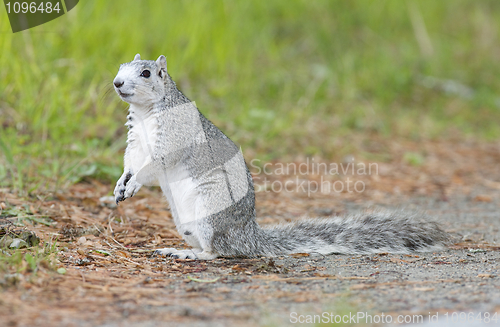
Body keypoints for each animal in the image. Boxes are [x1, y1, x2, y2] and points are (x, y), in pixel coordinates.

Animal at [112, 54, 450, 262]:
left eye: (145, 73)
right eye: (120, 67)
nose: (116, 83)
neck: (146, 113)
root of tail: (249, 237)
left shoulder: (175, 136)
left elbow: (157, 164)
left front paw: (135, 183)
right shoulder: (135, 142)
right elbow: (130, 161)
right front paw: (121, 183)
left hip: (211, 214)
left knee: (222, 251)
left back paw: (194, 254)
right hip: (186, 222)